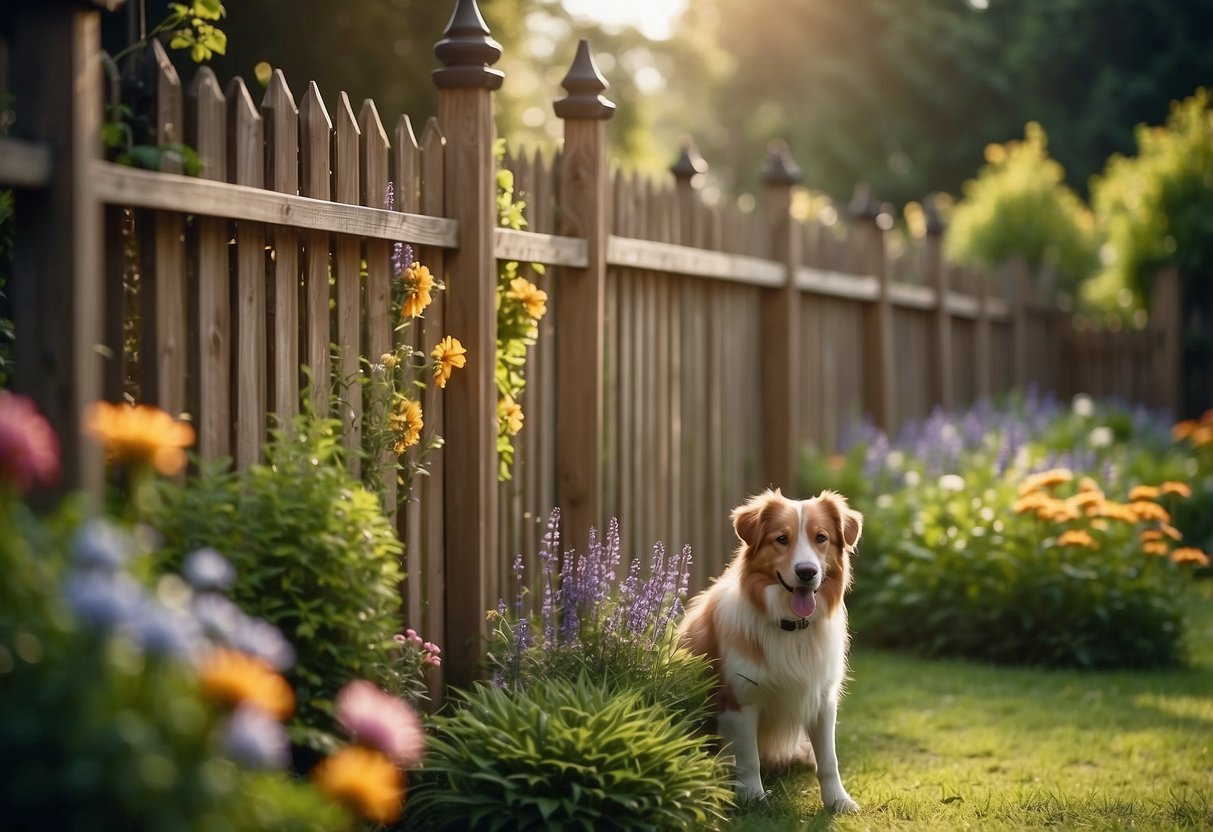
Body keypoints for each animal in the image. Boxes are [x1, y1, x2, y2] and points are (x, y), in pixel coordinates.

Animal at [684, 489, 863, 815]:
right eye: (781, 539)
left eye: (821, 537)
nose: (807, 572)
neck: (790, 627)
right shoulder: (740, 700)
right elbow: (748, 759)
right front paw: (753, 797)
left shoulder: (822, 699)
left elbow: (828, 759)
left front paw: (838, 800)